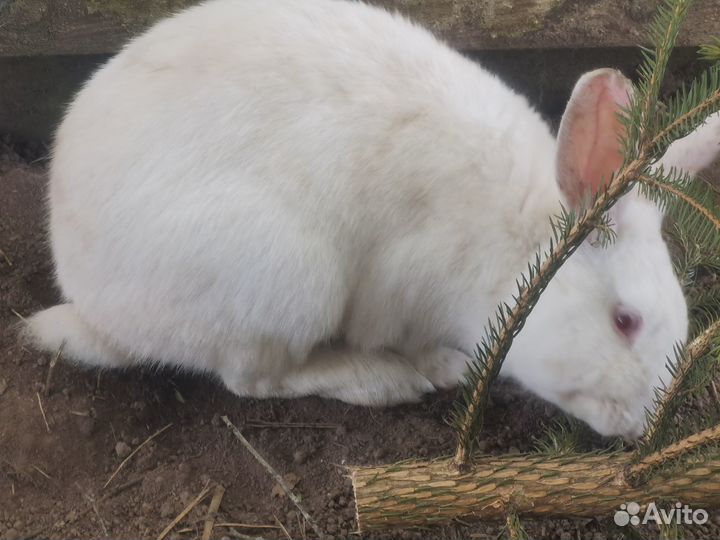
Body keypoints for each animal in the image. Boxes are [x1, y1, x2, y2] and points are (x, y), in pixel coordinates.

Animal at [23, 0, 719, 438]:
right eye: (625, 321)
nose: (638, 428)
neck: (512, 244)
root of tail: (94, 307)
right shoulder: (401, 292)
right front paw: (444, 368)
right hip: (288, 278)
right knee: (253, 379)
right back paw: (383, 381)